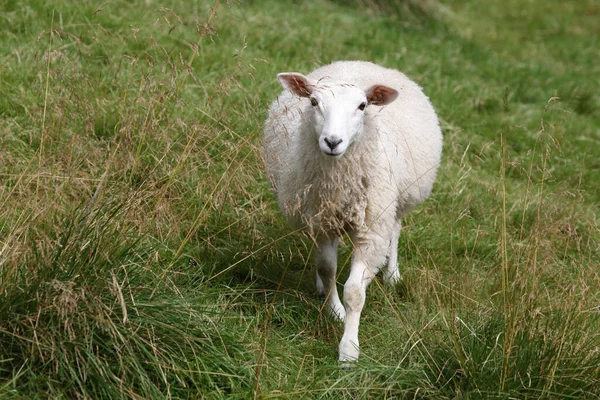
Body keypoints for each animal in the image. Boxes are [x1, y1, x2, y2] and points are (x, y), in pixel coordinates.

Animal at [264, 61, 442, 364]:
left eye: (362, 106)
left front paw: (349, 348)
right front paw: (334, 310)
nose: (332, 141)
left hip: (396, 199)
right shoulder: (322, 221)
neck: (340, 182)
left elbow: (355, 292)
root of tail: (364, 63)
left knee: (395, 229)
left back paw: (392, 274)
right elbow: (327, 270)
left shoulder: (372, 229)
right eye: (313, 102)